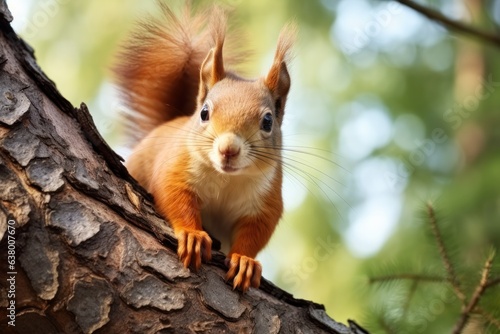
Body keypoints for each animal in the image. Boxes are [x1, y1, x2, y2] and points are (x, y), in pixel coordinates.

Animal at [113, 5, 292, 292]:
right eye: (205, 113)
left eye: (268, 121)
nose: (228, 149)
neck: (226, 179)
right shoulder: (176, 168)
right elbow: (175, 197)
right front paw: (192, 235)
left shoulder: (266, 198)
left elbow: (256, 230)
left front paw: (244, 261)